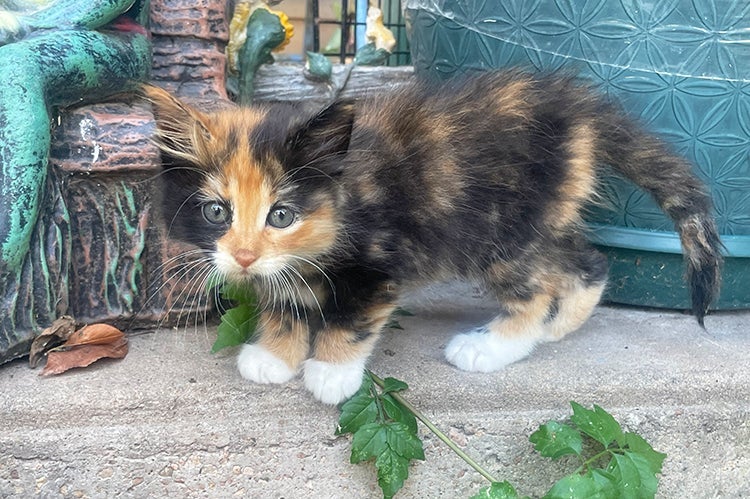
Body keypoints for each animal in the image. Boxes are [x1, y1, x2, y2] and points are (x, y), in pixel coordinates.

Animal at [145, 70, 724, 404]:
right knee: (588, 261)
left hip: (497, 233)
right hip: (537, 219)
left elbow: (352, 316)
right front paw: (275, 354)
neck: (344, 195)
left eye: (282, 216)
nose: (243, 257)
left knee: (540, 287)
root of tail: (576, 111)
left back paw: (495, 345)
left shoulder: (378, 261)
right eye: (216, 212)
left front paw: (331, 372)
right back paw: (557, 328)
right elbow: (286, 301)